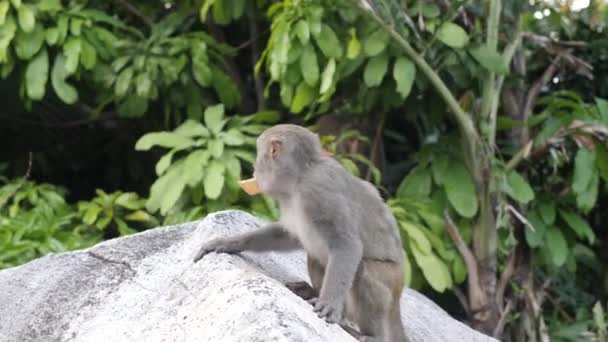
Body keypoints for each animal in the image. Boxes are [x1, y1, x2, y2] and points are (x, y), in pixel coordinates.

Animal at [192, 123, 406, 342]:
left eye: (260, 156)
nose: (254, 167)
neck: (300, 177)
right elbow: (288, 236)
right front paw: (228, 242)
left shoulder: (317, 192)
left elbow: (347, 244)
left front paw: (329, 304)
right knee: (316, 257)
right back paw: (312, 292)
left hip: (393, 277)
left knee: (364, 270)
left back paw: (371, 335)